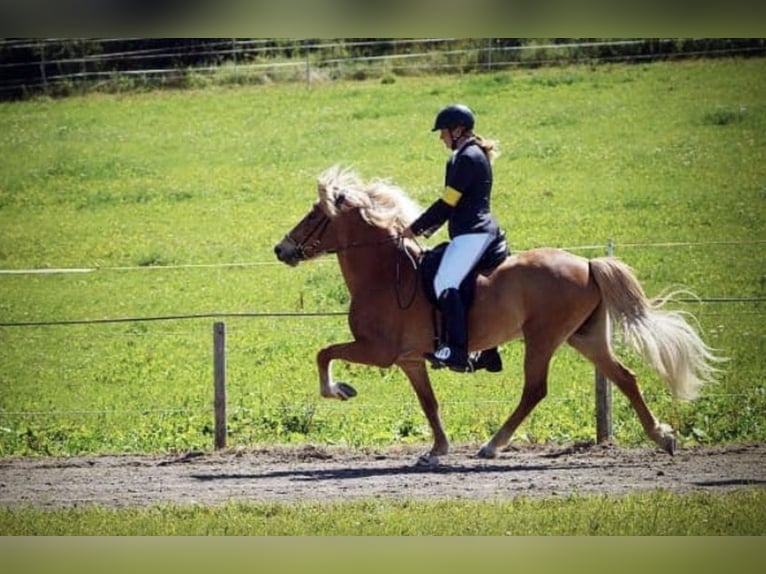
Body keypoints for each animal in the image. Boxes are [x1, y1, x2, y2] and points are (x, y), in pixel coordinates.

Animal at [273, 165, 721, 465]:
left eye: (315, 215)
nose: (281, 249)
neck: (385, 273)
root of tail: (588, 263)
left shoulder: (378, 351)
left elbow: (323, 353)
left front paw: (339, 391)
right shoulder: (409, 360)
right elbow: (429, 403)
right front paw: (438, 449)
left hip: (543, 337)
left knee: (535, 389)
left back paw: (492, 444)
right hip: (585, 336)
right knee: (625, 378)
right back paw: (662, 437)